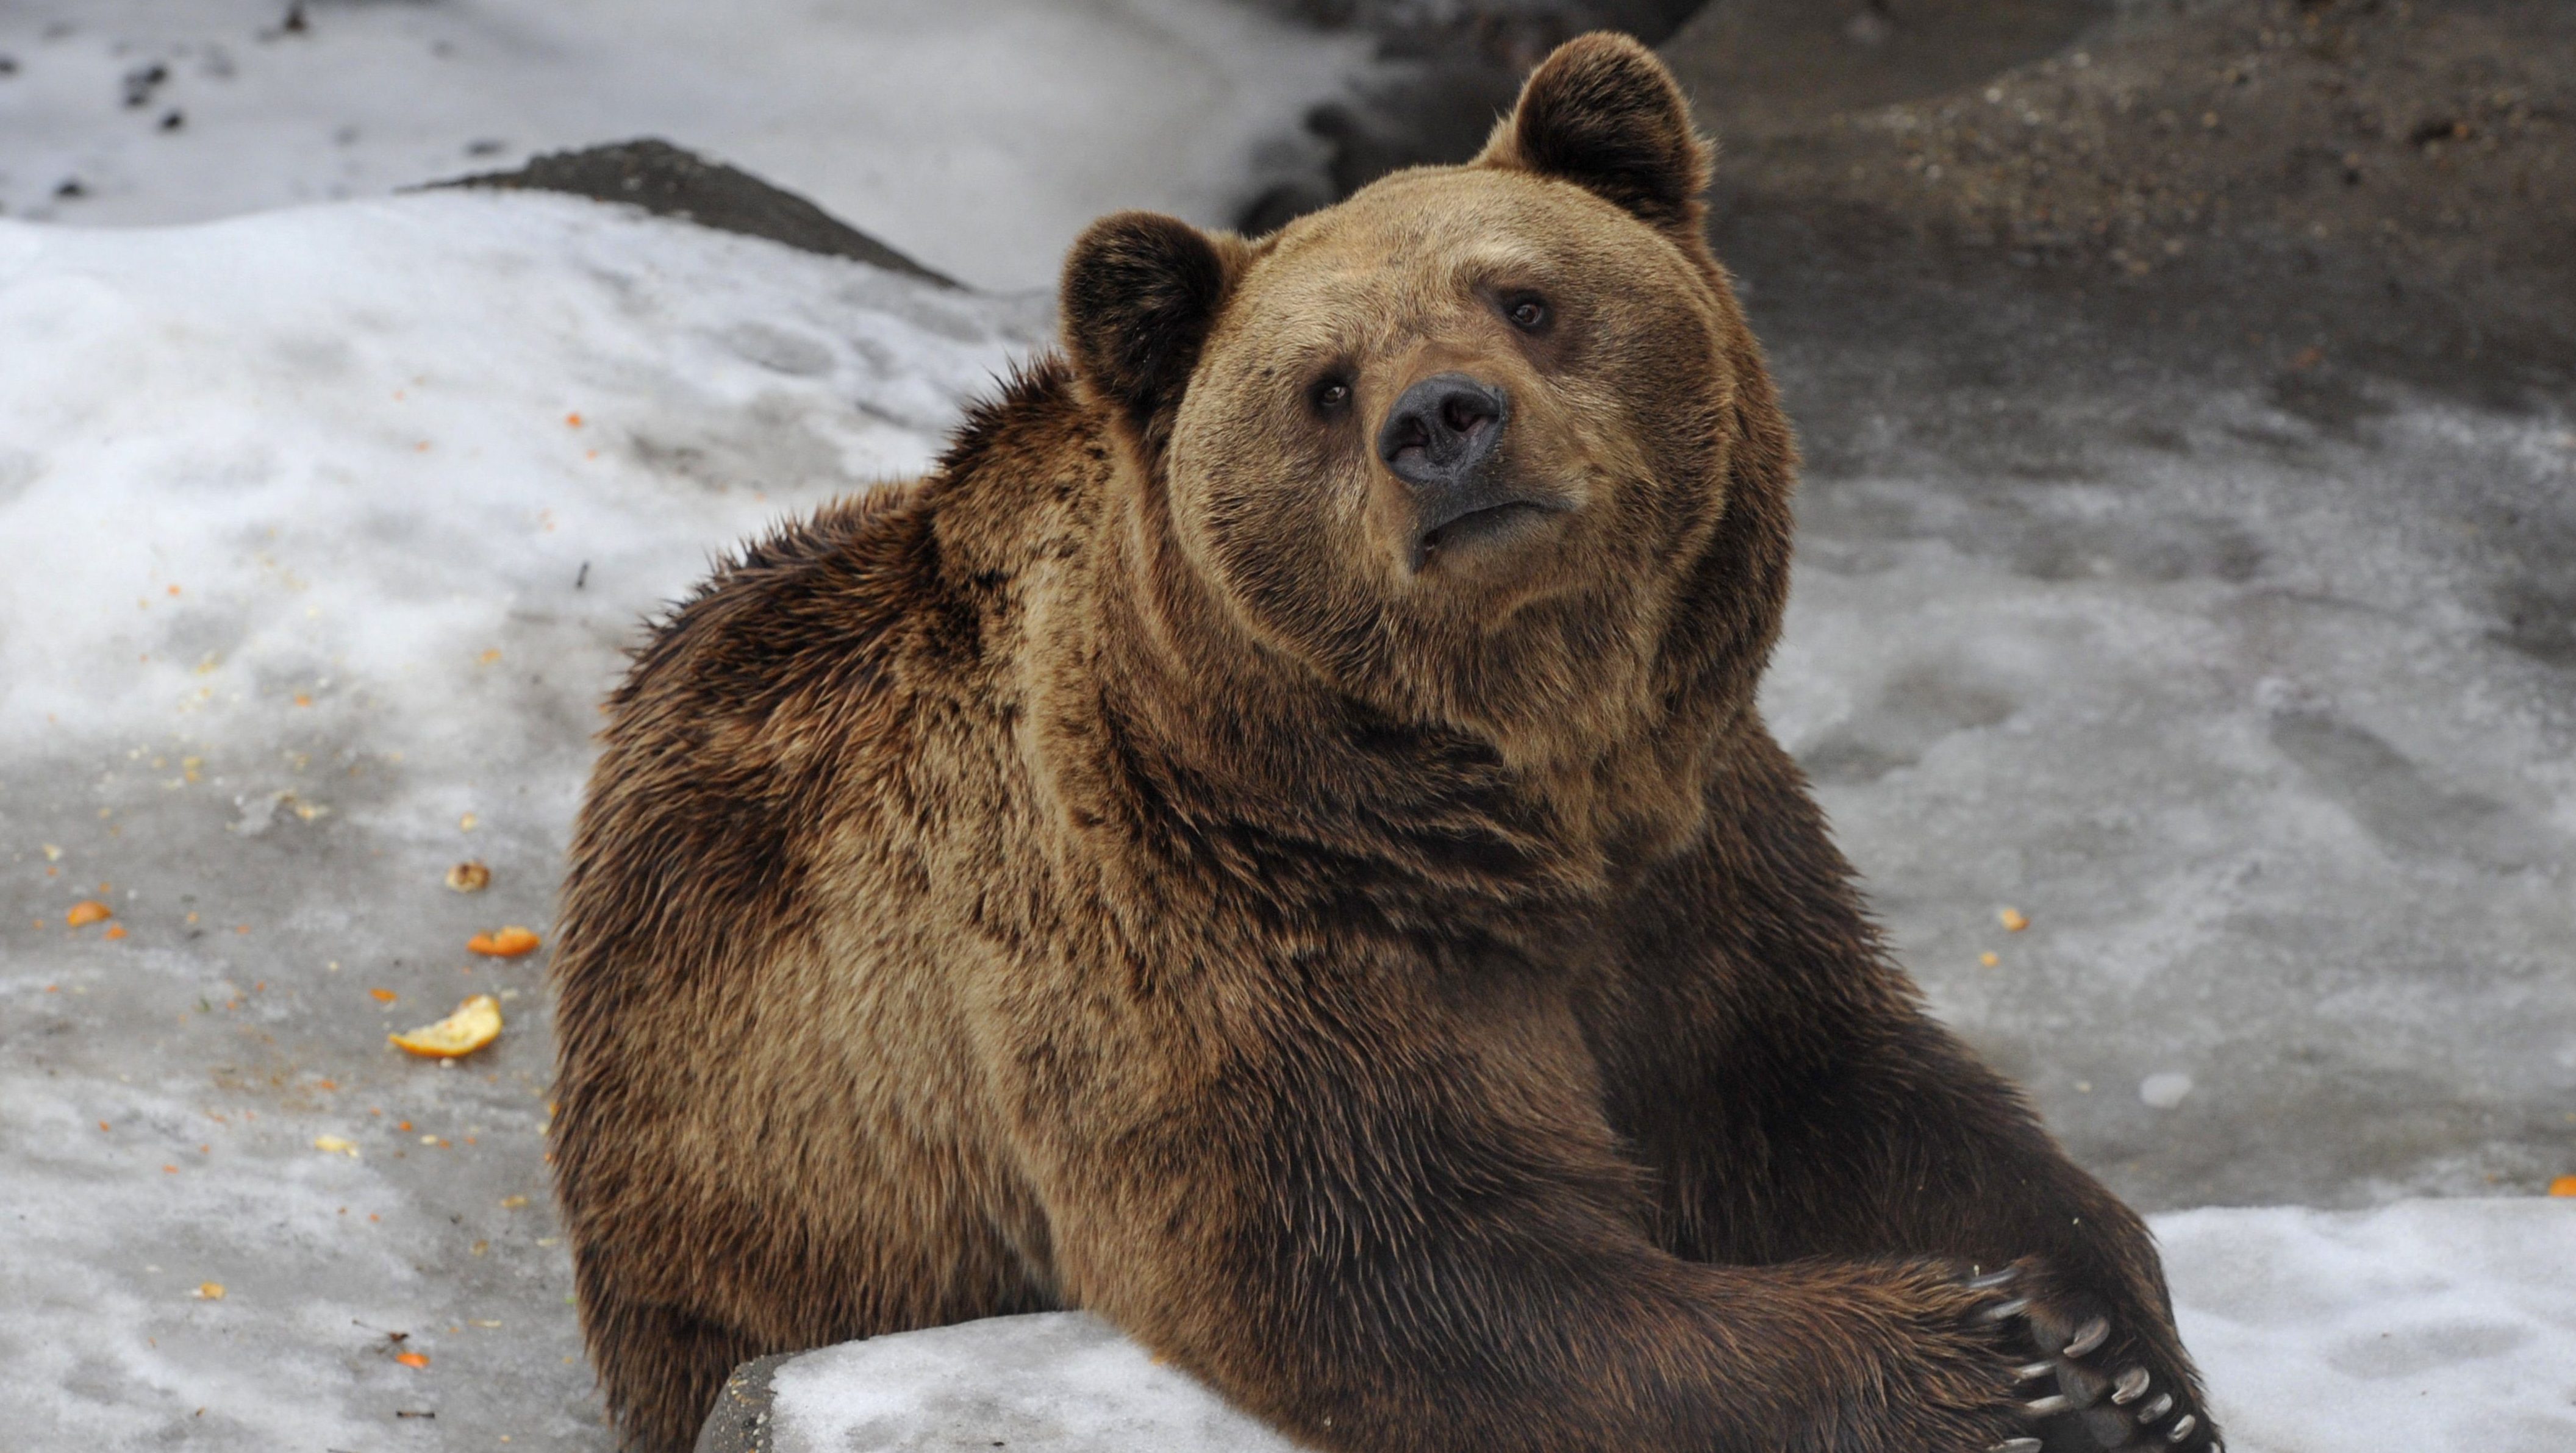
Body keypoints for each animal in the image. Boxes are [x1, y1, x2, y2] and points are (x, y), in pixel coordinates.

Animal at [554, 31, 2225, 1453]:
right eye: (1325, 383)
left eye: (1527, 295)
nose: (1442, 421)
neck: (1512, 793)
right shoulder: (1220, 933)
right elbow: (1398, 1258)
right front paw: (1987, 1371)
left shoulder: (1702, 860)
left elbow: (1843, 1083)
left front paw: (2113, 1344)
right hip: (747, 1198)